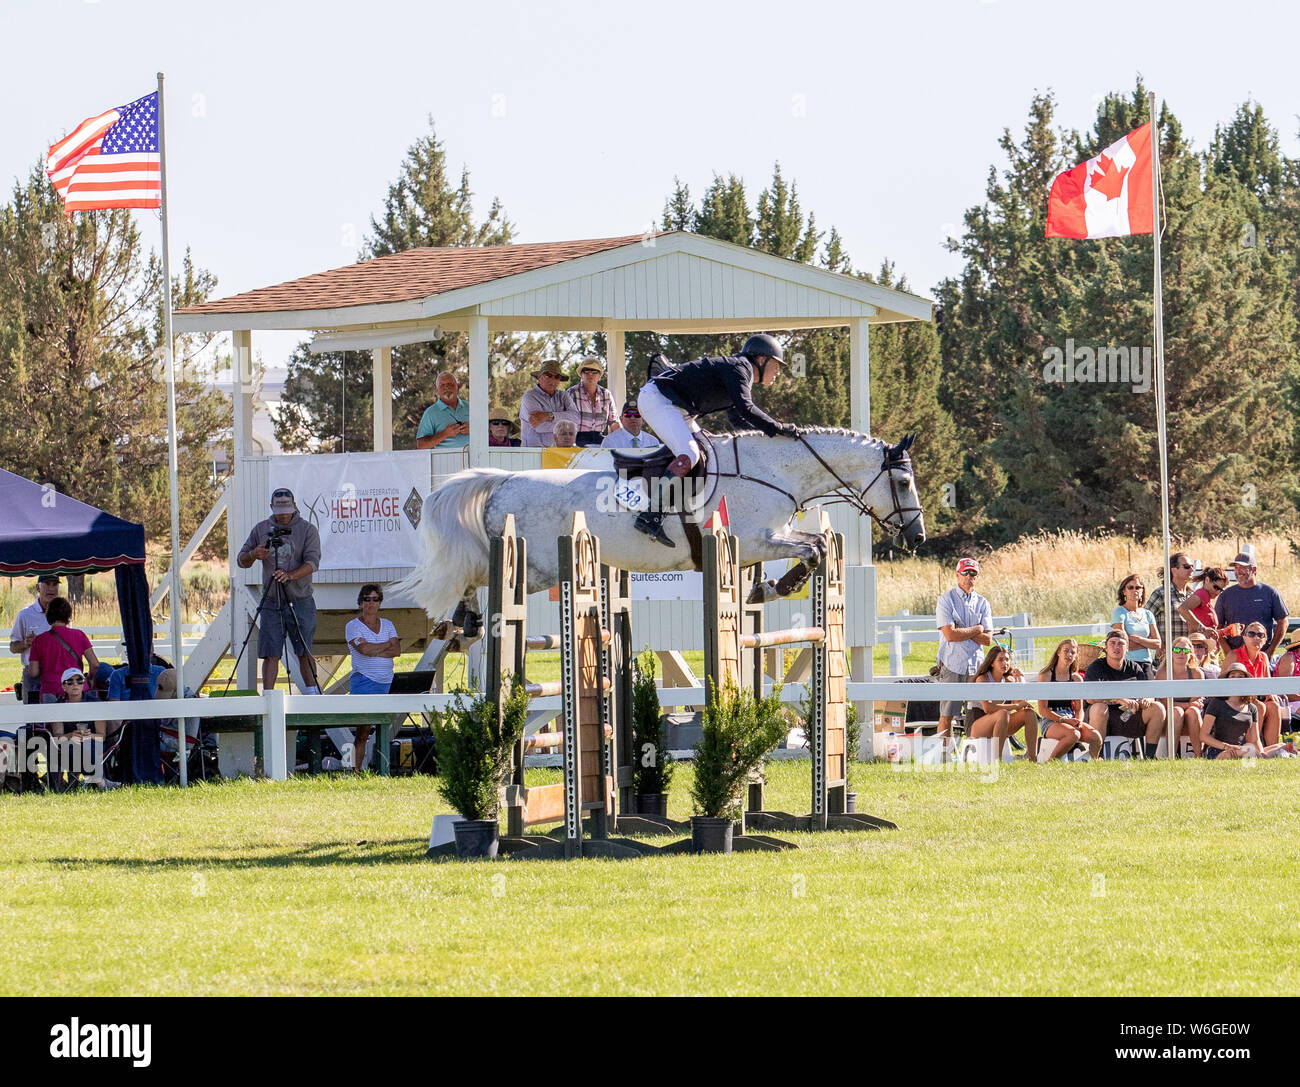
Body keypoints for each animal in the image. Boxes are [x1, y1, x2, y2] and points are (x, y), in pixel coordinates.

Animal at [395, 429, 925, 624]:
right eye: (902, 481)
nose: (916, 537)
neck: (773, 470)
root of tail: (503, 480)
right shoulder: (757, 540)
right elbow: (812, 549)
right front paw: (776, 587)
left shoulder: (761, 543)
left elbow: (813, 545)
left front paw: (766, 589)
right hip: (535, 568)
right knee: (476, 578)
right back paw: (463, 617)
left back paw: (464, 618)